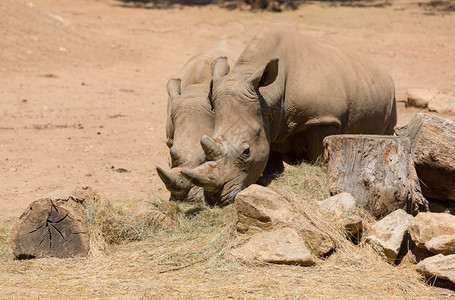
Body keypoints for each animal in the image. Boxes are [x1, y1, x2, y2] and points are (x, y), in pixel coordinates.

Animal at [180, 22, 398, 206]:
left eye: (246, 152)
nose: (215, 199)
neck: (267, 96)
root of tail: (384, 71)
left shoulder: (323, 119)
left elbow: (320, 154)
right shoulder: (269, 121)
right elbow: (269, 160)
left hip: (391, 96)